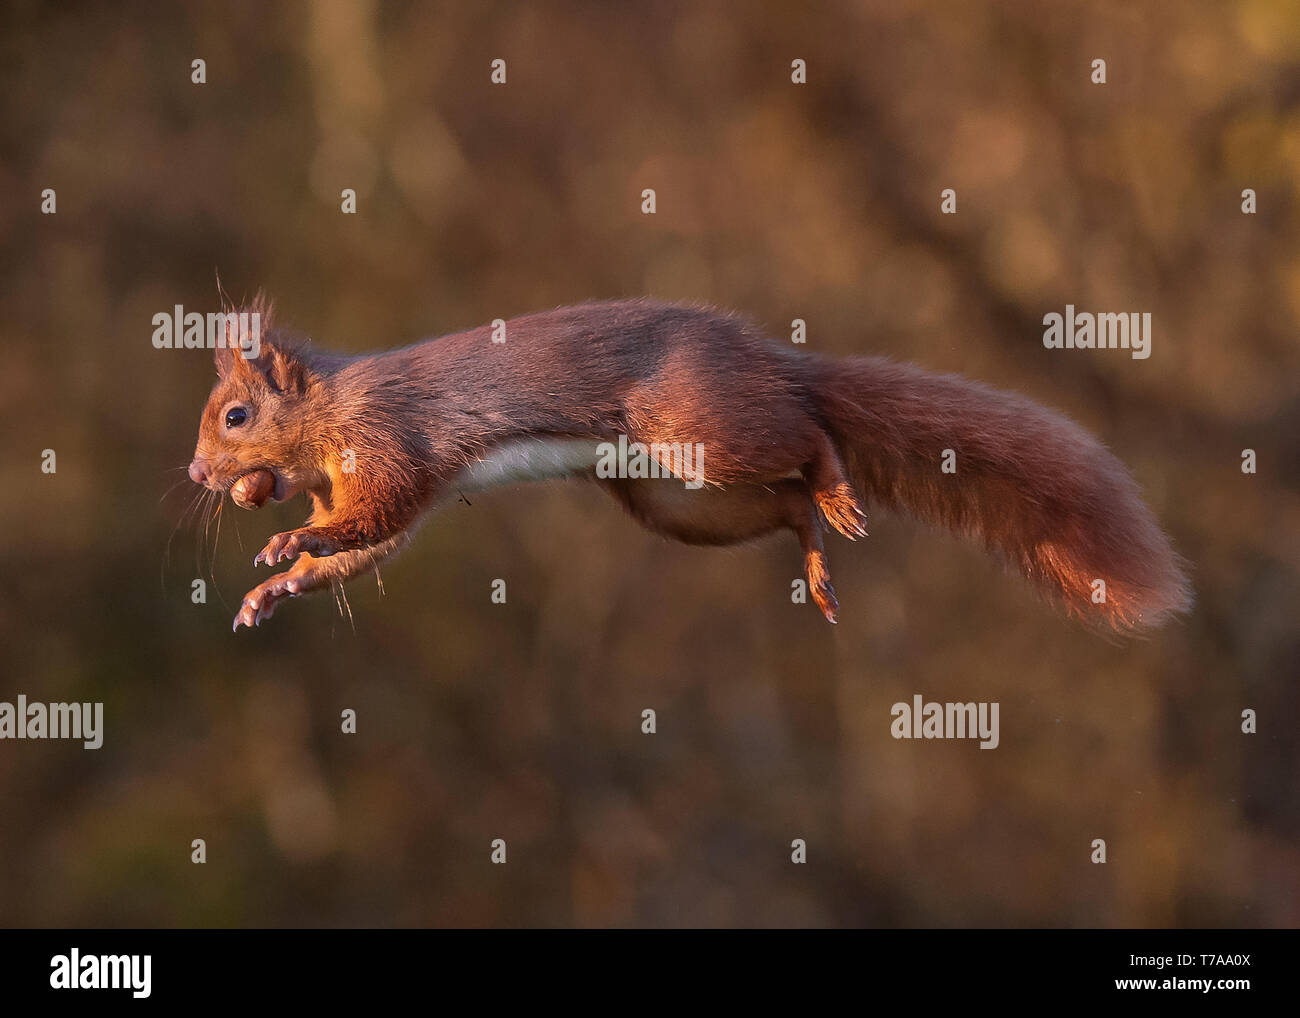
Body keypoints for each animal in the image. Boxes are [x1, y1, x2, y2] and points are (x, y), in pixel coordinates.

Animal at [188, 295, 1190, 629]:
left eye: (235, 415)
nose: (199, 476)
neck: (330, 412)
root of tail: (761, 356)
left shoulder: (392, 443)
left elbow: (371, 518)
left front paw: (286, 547)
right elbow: (364, 548)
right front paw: (276, 588)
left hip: (699, 429)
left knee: (806, 436)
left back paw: (835, 486)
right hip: (676, 501)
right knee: (780, 505)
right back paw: (815, 552)